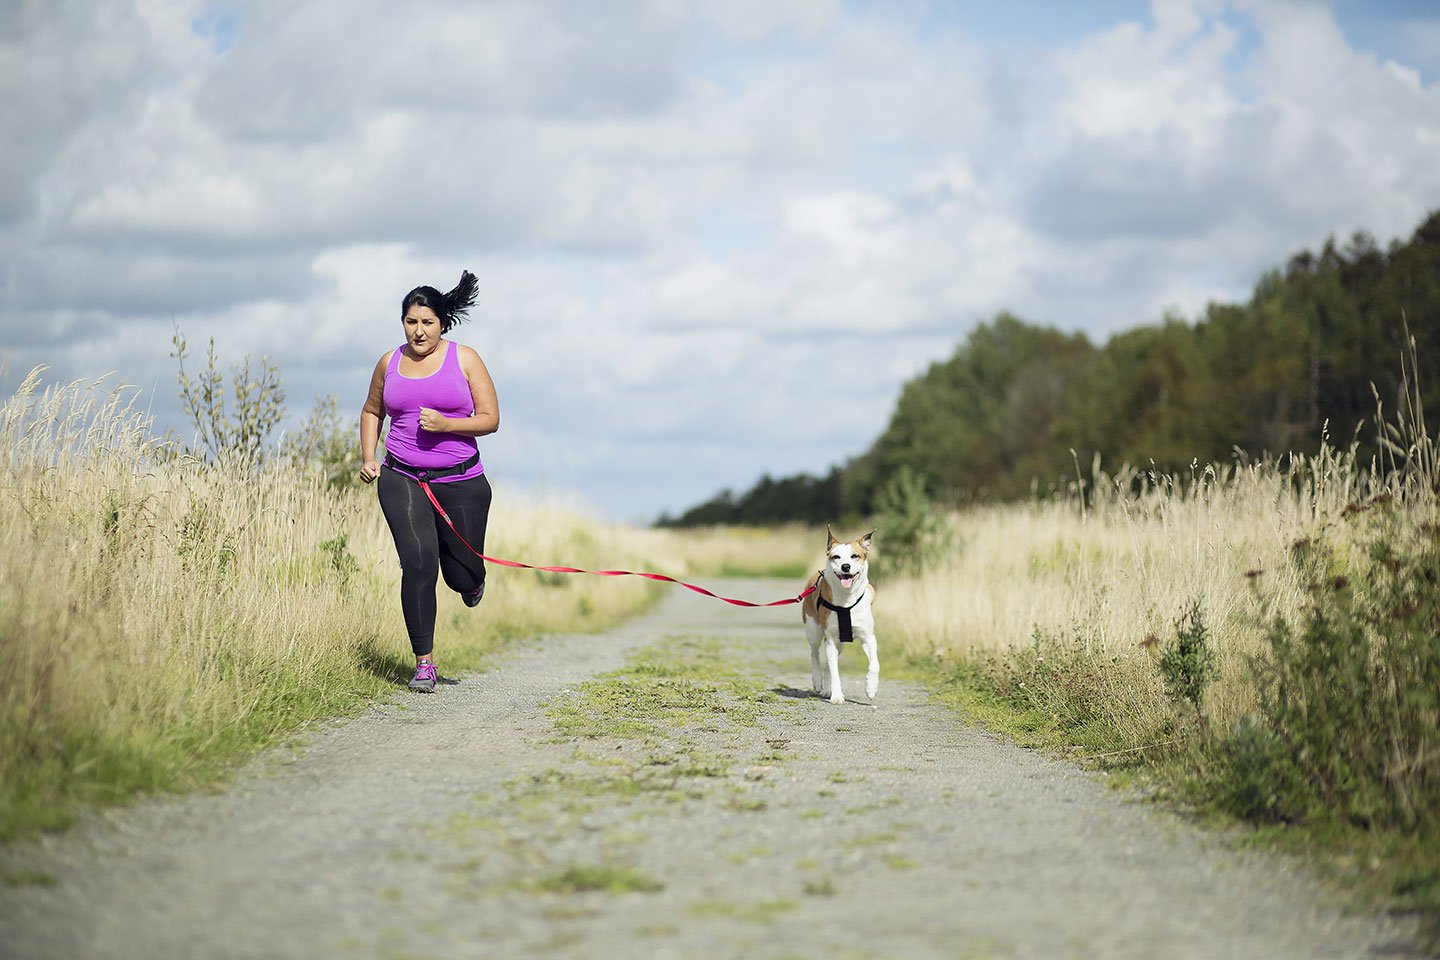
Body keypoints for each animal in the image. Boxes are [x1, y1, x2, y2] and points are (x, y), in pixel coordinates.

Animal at [800, 526, 875, 705]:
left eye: (855, 556)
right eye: (836, 557)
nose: (845, 566)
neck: (846, 599)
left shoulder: (868, 636)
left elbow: (875, 664)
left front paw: (871, 688)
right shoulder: (831, 640)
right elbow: (835, 672)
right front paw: (836, 696)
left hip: (840, 642)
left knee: (828, 663)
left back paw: (827, 689)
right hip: (813, 629)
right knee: (815, 654)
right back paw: (818, 682)